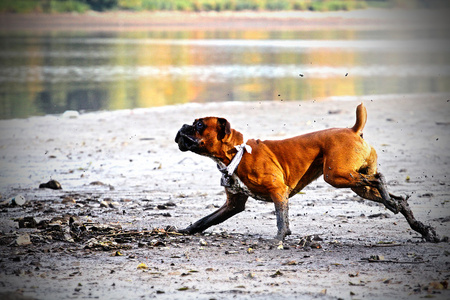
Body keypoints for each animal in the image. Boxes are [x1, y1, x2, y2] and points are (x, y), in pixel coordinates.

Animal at [175, 103, 440, 241]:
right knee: (397, 198)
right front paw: (186, 230)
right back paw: (420, 227)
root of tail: (353, 130)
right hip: (357, 184)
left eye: (199, 125)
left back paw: (393, 203)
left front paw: (279, 239)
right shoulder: (233, 205)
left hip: (337, 176)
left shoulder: (278, 191)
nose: (183, 126)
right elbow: (205, 220)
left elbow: (281, 219)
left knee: (379, 178)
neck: (237, 153)